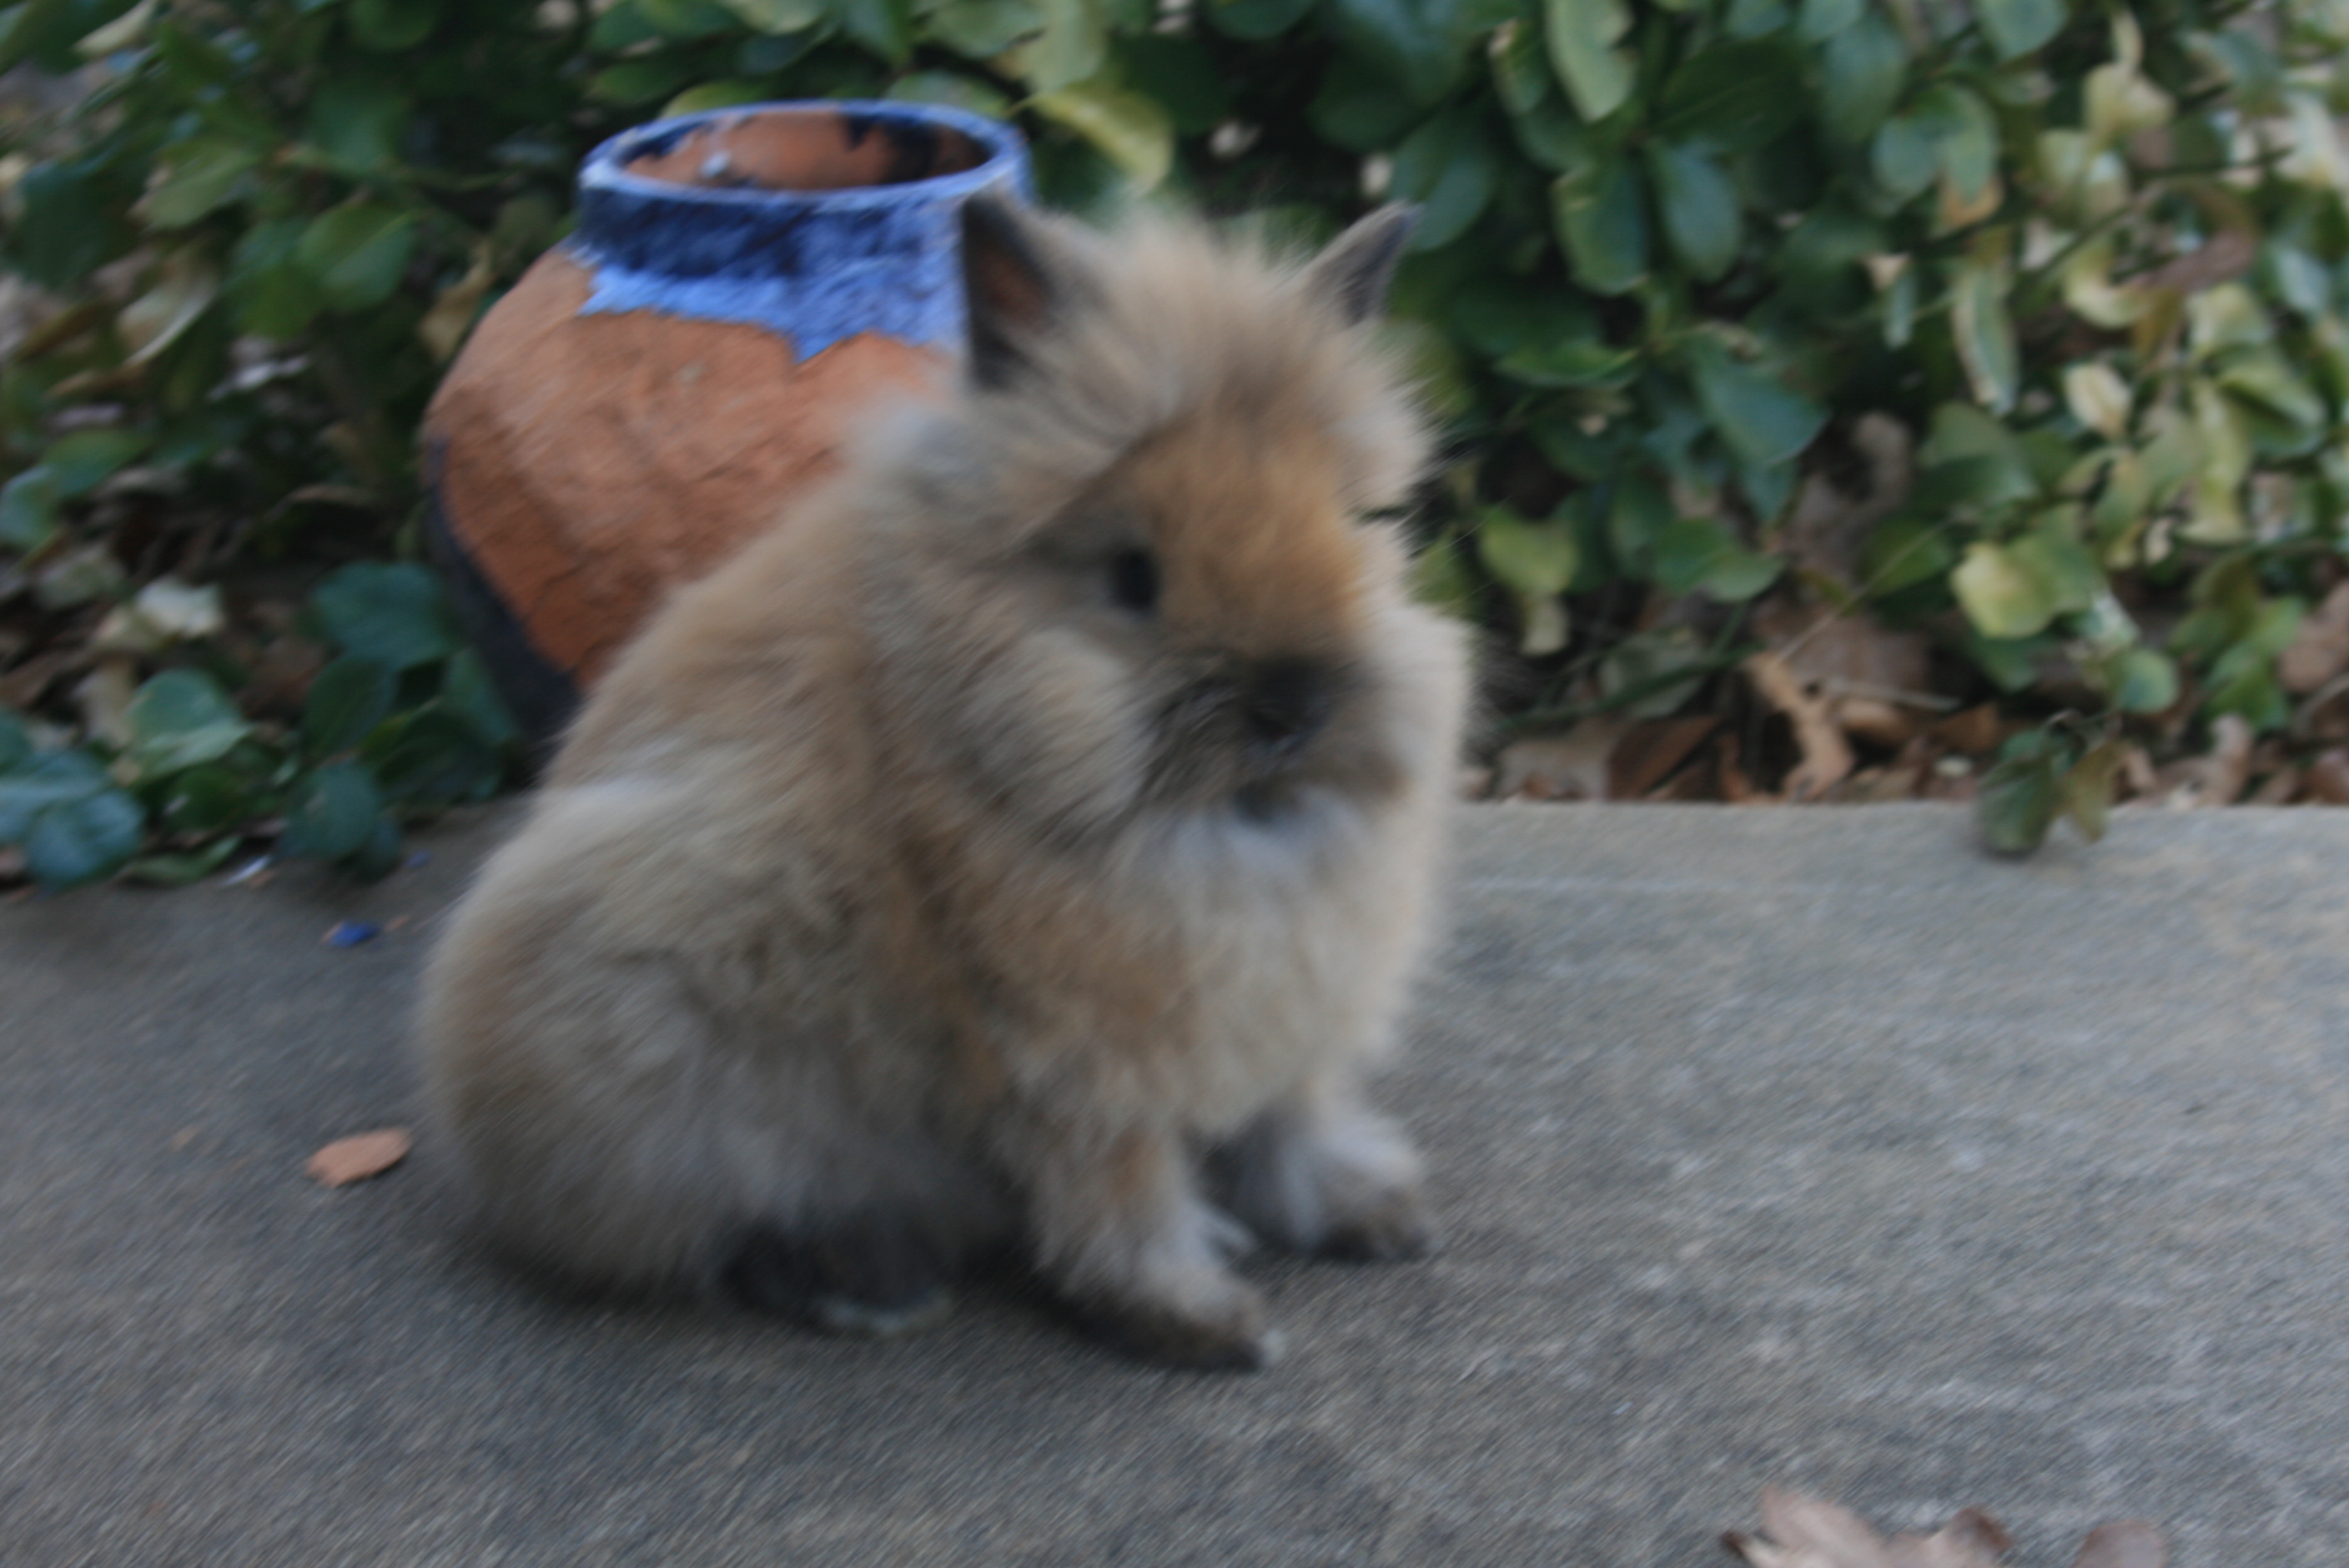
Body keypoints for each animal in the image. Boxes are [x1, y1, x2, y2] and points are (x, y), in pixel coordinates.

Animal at [416, 194, 1469, 1369]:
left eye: (1348, 527)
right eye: (1132, 575)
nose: (1289, 707)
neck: (1232, 830)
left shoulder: (1287, 1028)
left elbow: (1294, 1124)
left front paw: (1378, 1218)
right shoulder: (1085, 1073)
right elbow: (1124, 1200)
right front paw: (1204, 1326)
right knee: (723, 1231)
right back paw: (866, 1281)